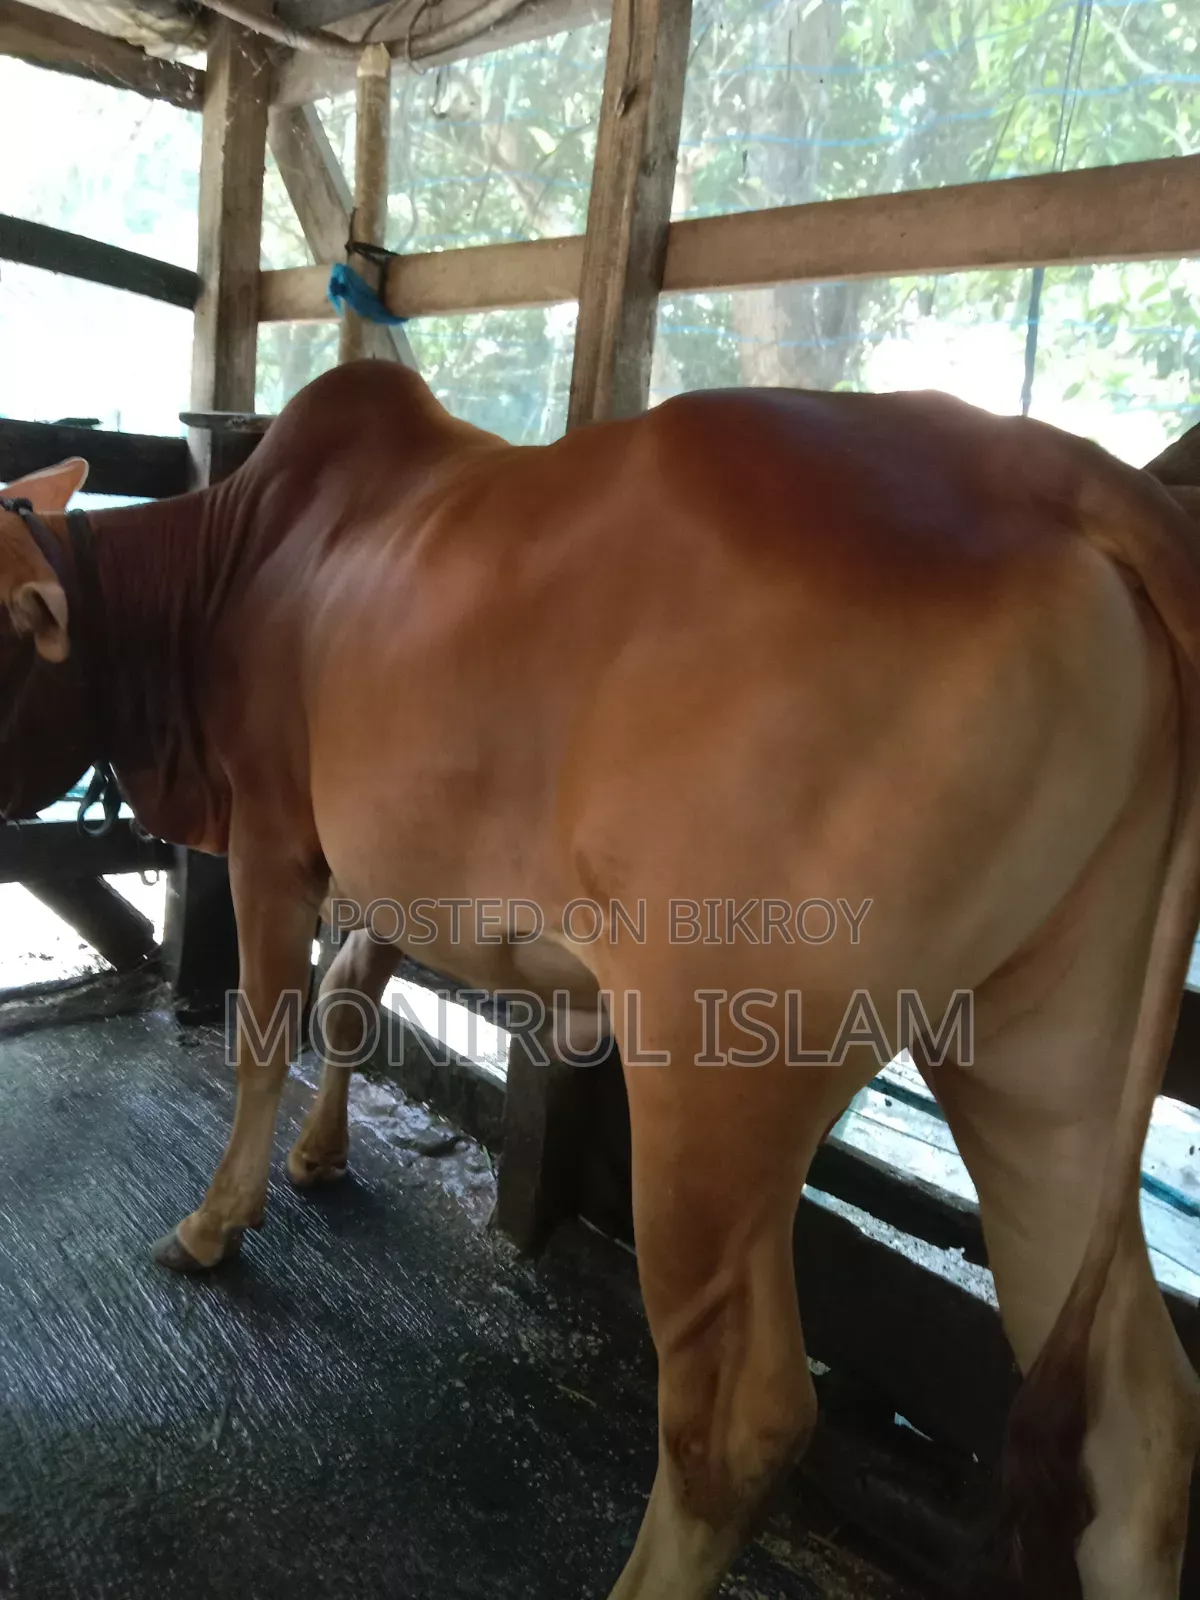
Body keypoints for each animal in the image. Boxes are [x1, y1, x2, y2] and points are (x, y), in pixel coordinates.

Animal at [2, 361, 1199, 1600]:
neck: (237, 566)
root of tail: (1055, 471)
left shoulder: (275, 836)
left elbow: (267, 1035)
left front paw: (213, 1224)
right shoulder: (387, 865)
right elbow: (349, 1003)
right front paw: (321, 1155)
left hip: (718, 1067)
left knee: (738, 1415)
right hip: (1046, 1055)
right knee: (1143, 1432)